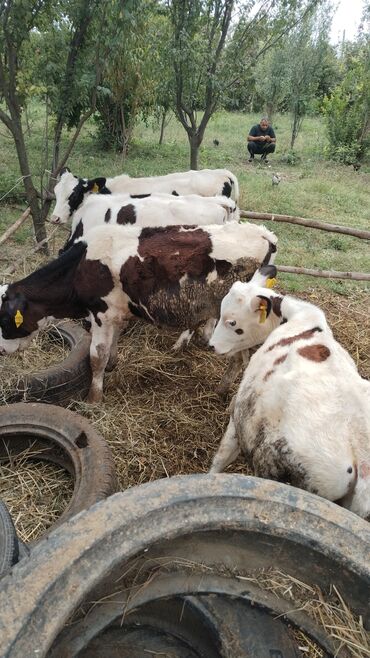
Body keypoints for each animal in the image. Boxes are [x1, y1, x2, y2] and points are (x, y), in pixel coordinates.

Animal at [0, 222, 278, 400]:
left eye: (4, 318)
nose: (2, 350)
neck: (80, 267)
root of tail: (264, 234)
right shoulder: (116, 312)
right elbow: (113, 343)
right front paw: (112, 365)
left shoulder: (100, 313)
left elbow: (96, 355)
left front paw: (94, 397)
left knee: (240, 360)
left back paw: (222, 391)